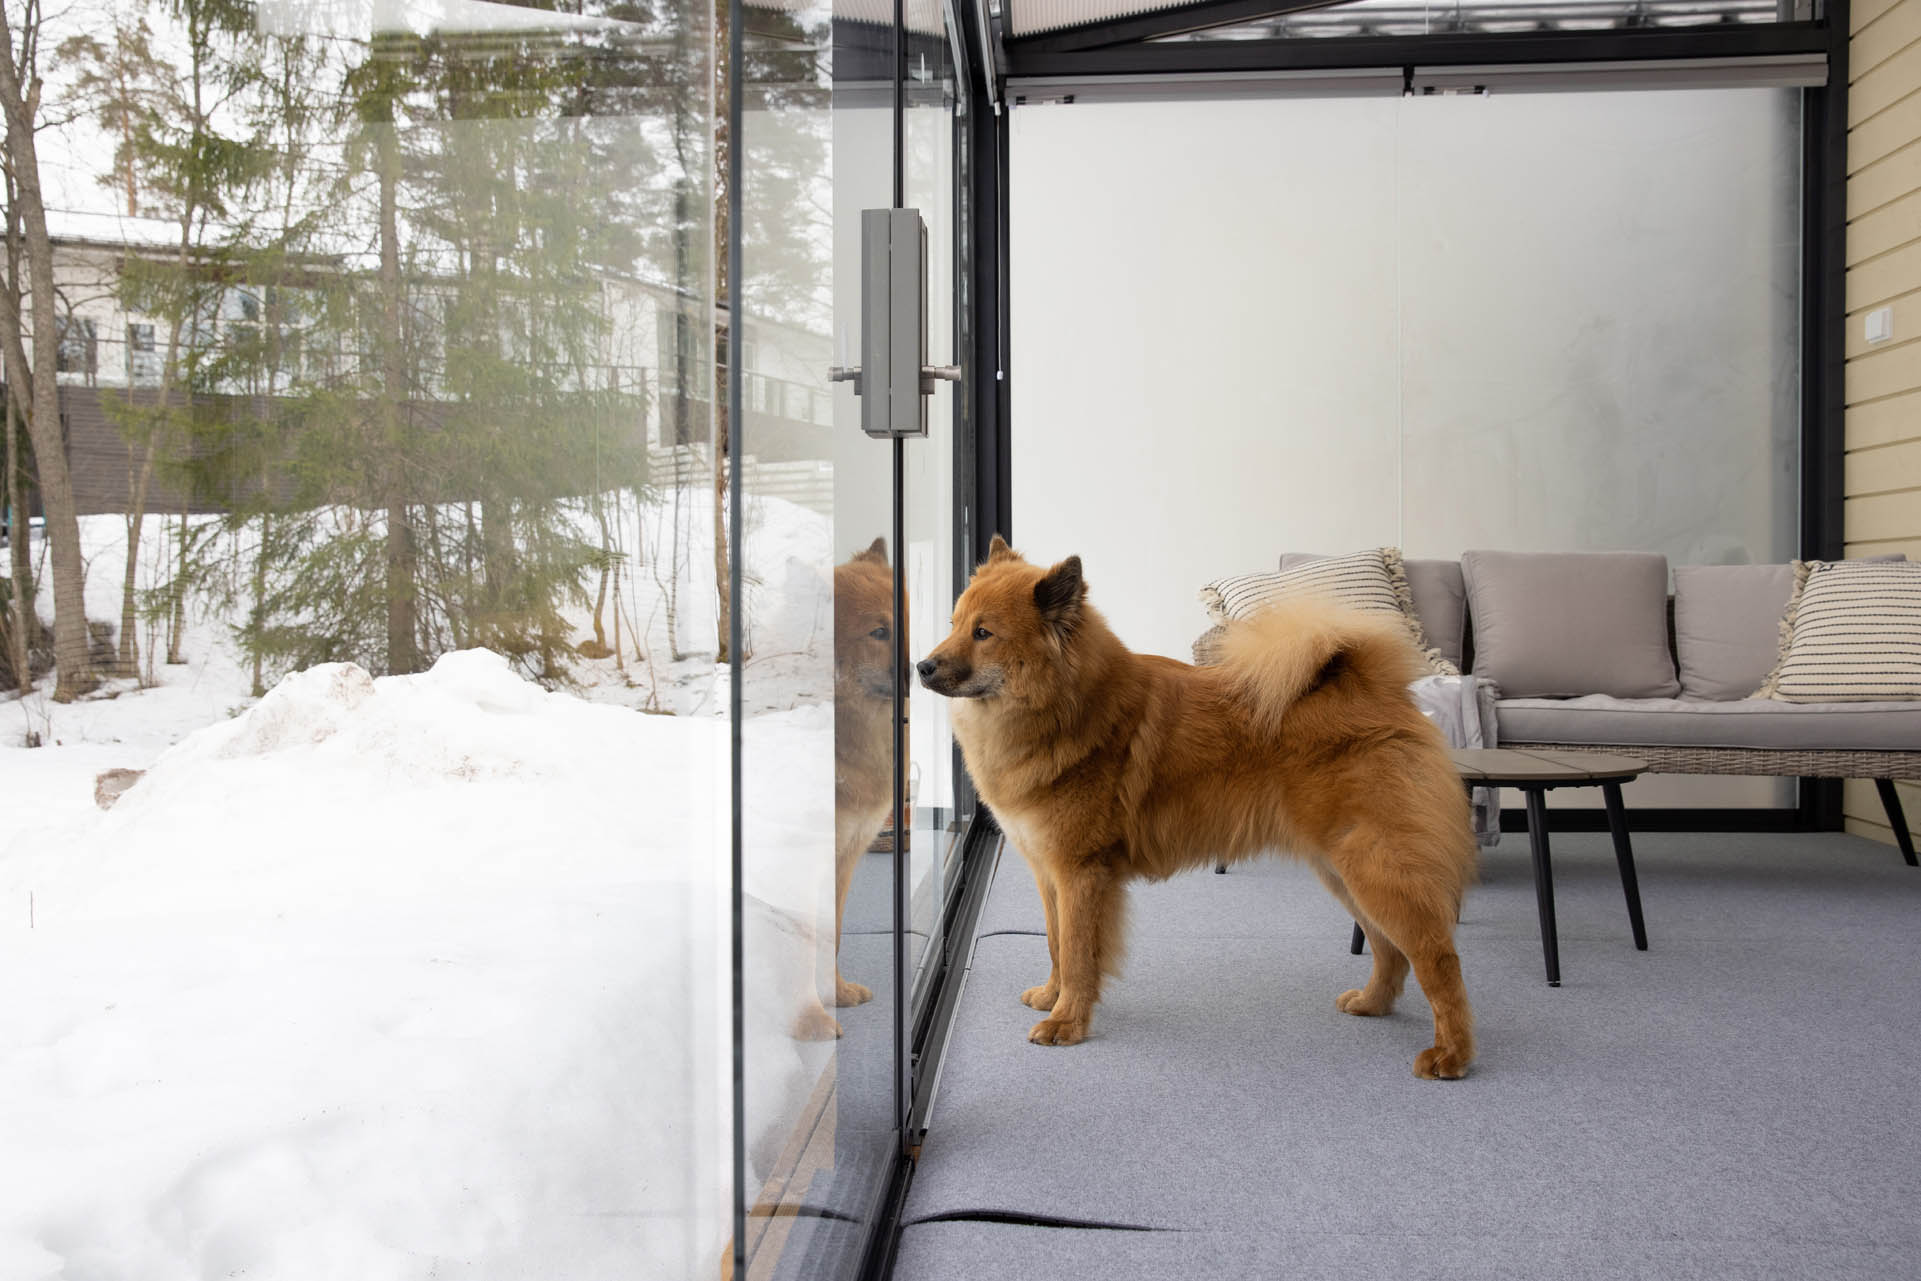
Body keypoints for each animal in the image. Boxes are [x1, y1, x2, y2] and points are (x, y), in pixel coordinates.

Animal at [910, 537, 1467, 1075]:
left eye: (984, 633)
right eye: (954, 624)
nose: (922, 665)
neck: (1067, 707)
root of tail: (1376, 688)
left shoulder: (1080, 874)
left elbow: (1078, 954)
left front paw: (1067, 1022)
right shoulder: (1050, 874)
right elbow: (1056, 945)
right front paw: (1052, 997)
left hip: (1374, 867)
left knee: (1436, 957)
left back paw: (1452, 1054)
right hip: (1340, 871)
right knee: (1390, 949)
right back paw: (1373, 1003)